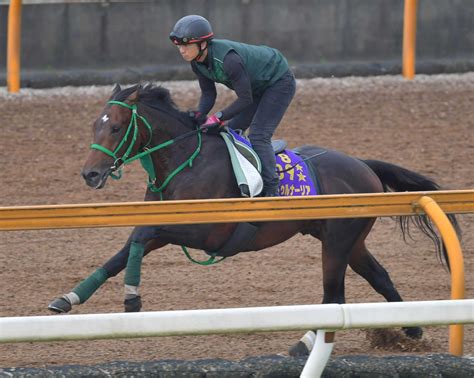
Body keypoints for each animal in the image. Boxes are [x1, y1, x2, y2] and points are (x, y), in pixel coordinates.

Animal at [48, 81, 460, 356]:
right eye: (94, 125)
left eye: (116, 127)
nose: (90, 175)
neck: (185, 159)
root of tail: (364, 165)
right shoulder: (166, 227)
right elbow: (121, 252)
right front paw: (67, 299)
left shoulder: (206, 232)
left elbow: (139, 235)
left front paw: (132, 299)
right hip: (349, 242)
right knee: (379, 276)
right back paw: (412, 327)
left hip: (338, 243)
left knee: (334, 295)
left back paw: (303, 344)